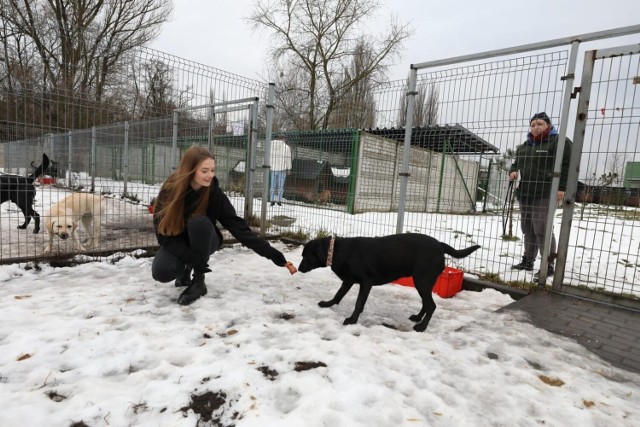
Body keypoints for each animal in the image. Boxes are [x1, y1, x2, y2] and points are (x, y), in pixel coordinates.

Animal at [298, 234, 478, 332]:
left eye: (305, 256)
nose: (298, 268)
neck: (335, 251)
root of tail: (440, 245)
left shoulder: (366, 282)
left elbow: (358, 303)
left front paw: (352, 319)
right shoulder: (348, 281)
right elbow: (338, 295)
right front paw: (327, 304)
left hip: (422, 280)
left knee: (431, 305)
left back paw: (422, 327)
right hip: (422, 282)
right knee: (426, 304)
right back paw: (417, 318)